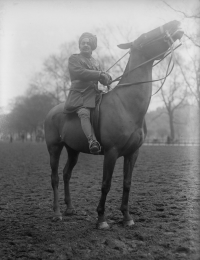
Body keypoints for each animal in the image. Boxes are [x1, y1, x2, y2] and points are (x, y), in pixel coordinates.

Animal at [44, 20, 184, 229]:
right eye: (145, 36)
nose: (175, 23)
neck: (126, 105)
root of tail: (51, 111)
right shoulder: (111, 152)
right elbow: (106, 184)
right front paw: (101, 218)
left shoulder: (132, 153)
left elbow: (127, 183)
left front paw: (126, 217)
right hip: (54, 148)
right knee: (54, 178)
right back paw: (57, 213)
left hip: (73, 150)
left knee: (66, 173)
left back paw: (70, 208)